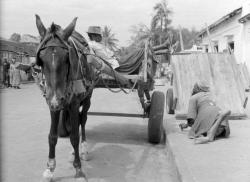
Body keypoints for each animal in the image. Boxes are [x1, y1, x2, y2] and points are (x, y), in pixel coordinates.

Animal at [35, 14, 94, 181]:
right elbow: (52, 136)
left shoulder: (72, 103)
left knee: (82, 120)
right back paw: (74, 152)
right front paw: (50, 168)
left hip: (87, 99)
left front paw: (78, 169)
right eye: (41, 59)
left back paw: (83, 149)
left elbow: (74, 136)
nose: (57, 100)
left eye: (67, 58)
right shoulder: (52, 102)